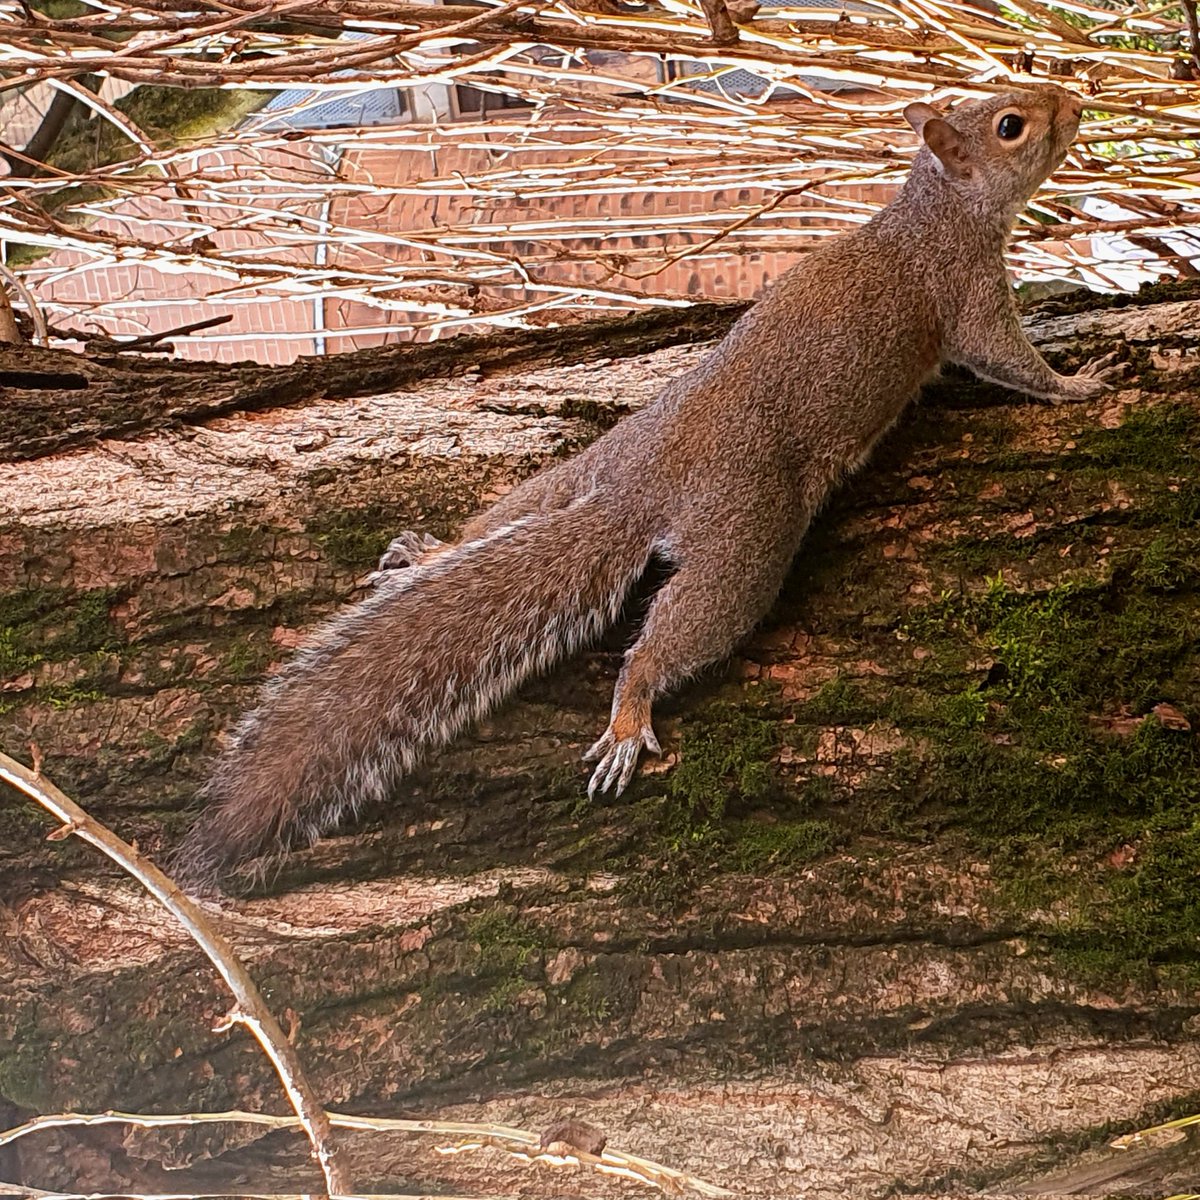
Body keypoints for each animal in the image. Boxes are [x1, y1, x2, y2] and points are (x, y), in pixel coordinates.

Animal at [175, 84, 1123, 888]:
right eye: (1012, 125)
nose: (1076, 102)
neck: (931, 210)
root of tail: (635, 493)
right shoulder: (964, 295)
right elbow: (1008, 360)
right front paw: (1079, 383)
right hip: (747, 538)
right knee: (674, 635)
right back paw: (629, 715)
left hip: (581, 471)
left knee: (511, 514)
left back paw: (431, 555)